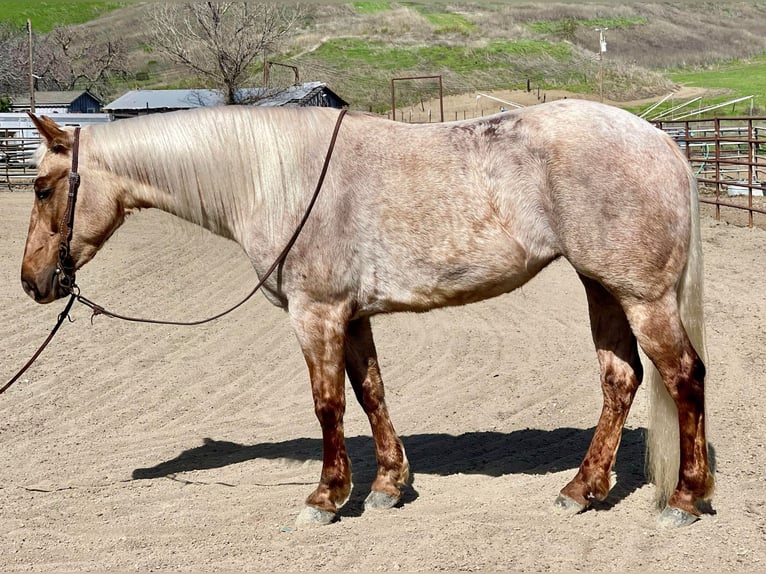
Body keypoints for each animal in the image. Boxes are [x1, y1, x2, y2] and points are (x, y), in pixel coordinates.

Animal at [22, 100, 712, 532]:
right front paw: (386, 486)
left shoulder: (317, 313)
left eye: (42, 187)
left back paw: (684, 498)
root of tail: (660, 140)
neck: (275, 175)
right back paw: (581, 489)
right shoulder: (352, 317)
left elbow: (328, 403)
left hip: (642, 297)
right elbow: (370, 390)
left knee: (684, 376)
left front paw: (327, 497)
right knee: (621, 380)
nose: (33, 281)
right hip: (603, 287)